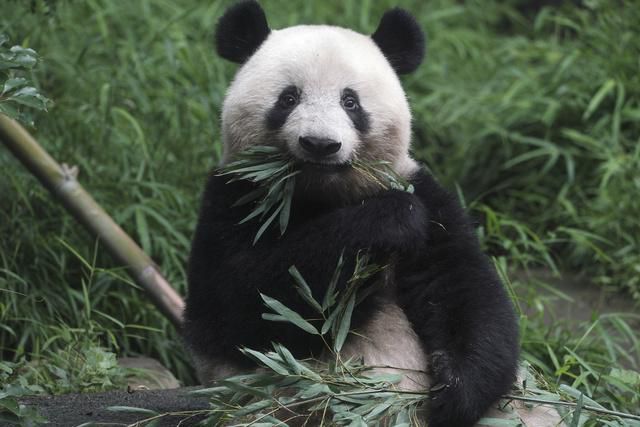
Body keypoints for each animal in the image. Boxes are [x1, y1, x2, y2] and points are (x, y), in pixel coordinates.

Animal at [183, 1, 520, 426]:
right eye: (288, 98)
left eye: (350, 101)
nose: (320, 144)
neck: (322, 193)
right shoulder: (235, 197)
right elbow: (239, 304)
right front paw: (390, 219)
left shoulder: (425, 194)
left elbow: (465, 290)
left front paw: (454, 390)